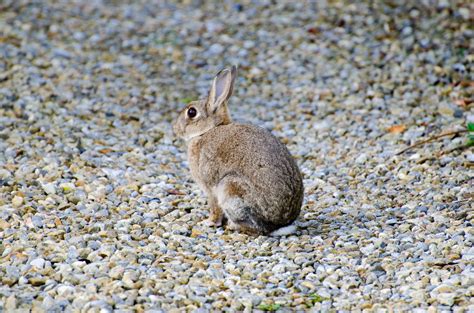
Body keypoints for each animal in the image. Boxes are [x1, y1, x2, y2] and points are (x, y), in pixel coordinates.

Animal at [173, 66, 304, 236]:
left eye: (191, 112)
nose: (175, 128)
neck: (208, 130)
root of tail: (279, 225)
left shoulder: (210, 188)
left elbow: (214, 208)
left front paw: (208, 222)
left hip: (230, 188)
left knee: (256, 228)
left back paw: (232, 226)